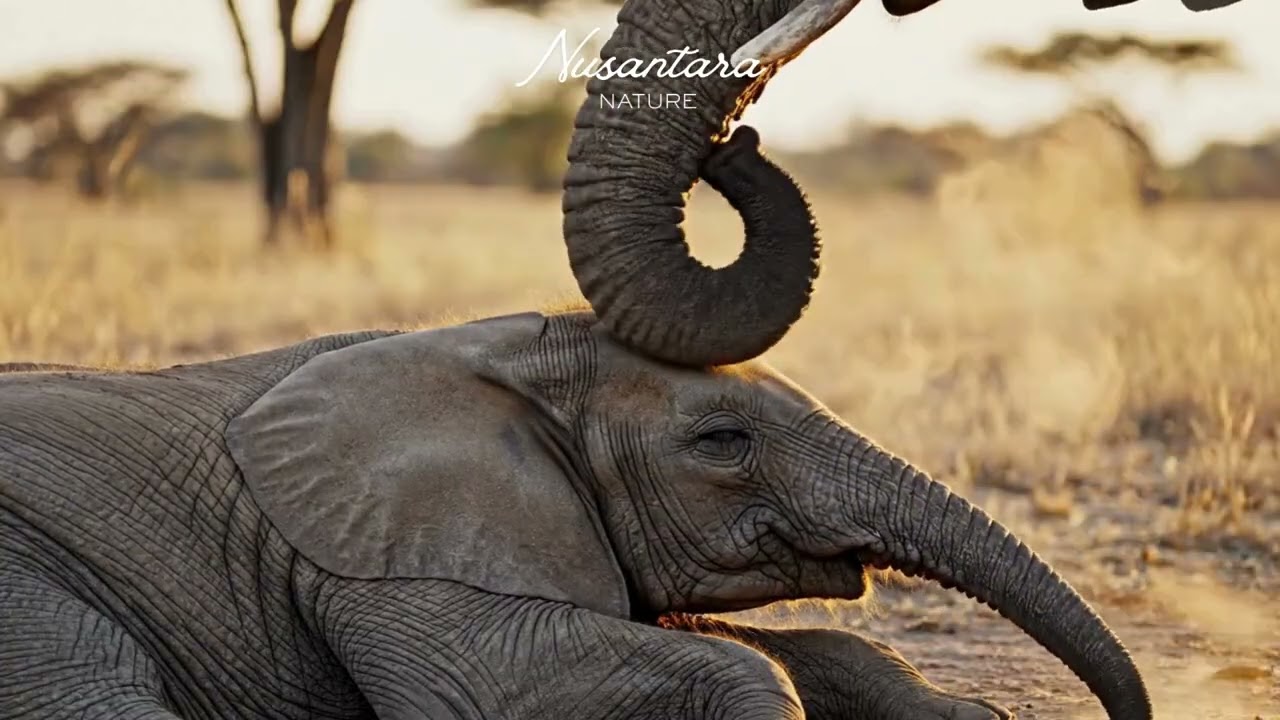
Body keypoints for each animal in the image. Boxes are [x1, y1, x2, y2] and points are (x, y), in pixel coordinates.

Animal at [1, 0, 1155, 718]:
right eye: (722, 442)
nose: (735, 139)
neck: (487, 344)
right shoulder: (378, 567)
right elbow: (549, 686)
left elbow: (805, 649)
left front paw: (971, 713)